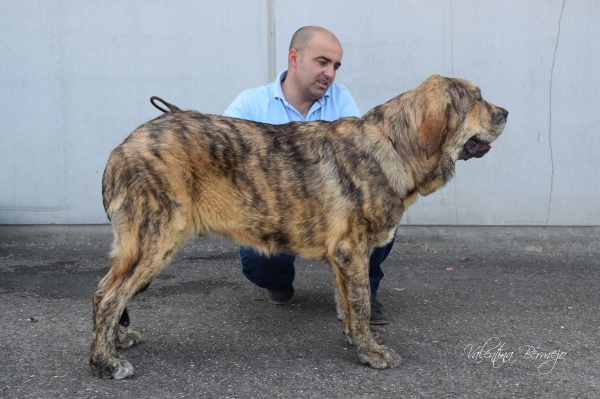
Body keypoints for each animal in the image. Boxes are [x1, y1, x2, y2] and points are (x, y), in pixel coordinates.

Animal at [91, 75, 508, 378]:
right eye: (476, 99)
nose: (505, 111)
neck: (394, 144)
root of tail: (119, 149)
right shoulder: (351, 249)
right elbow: (360, 302)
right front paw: (371, 352)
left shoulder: (342, 255)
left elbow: (348, 303)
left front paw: (355, 338)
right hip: (157, 239)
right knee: (109, 295)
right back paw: (103, 362)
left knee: (109, 291)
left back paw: (116, 341)